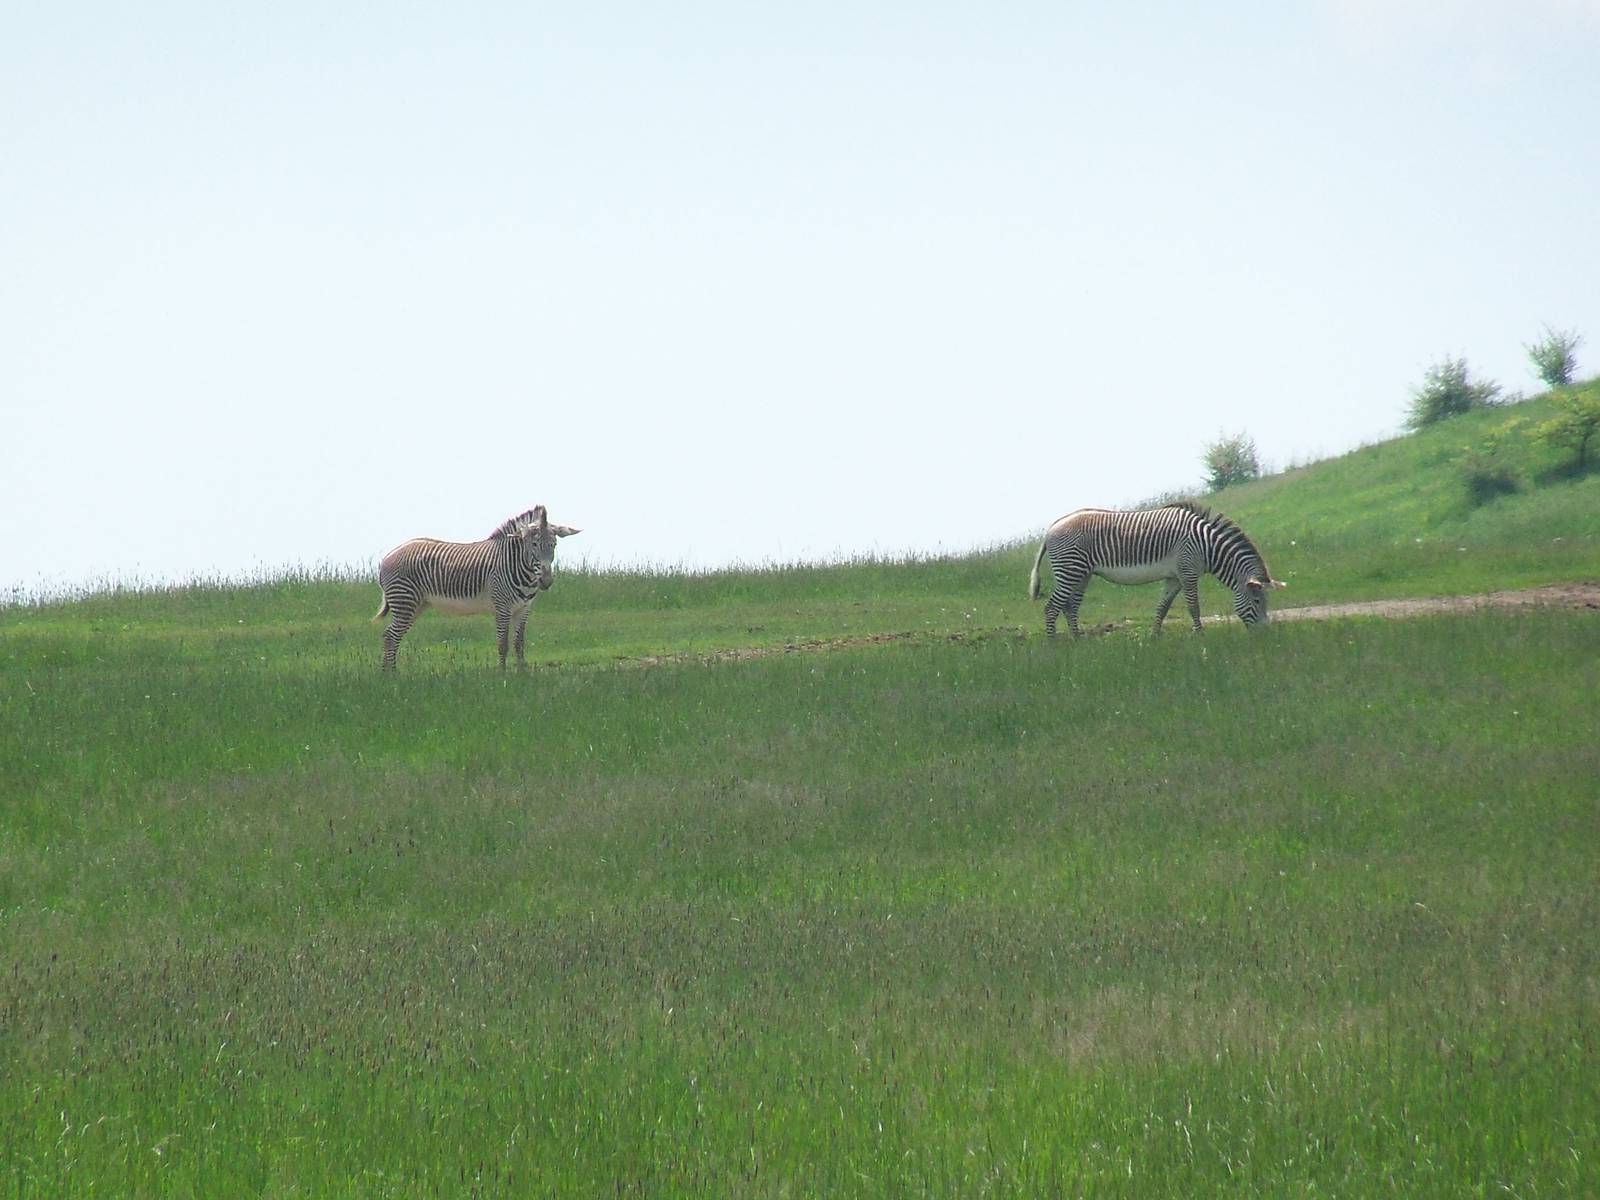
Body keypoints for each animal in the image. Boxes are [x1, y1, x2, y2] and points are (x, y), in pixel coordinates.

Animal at [372, 506, 580, 670]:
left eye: (554, 545)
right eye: (534, 544)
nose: (546, 581)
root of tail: (389, 556)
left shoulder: (524, 609)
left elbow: (519, 644)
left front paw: (522, 674)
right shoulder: (502, 607)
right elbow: (503, 643)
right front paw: (503, 675)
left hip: (416, 605)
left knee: (391, 636)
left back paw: (388, 674)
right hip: (405, 601)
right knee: (391, 636)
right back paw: (391, 676)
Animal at [1027, 501, 1284, 637]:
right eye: (1258, 601)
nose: (1266, 635)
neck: (1206, 544)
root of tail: (1051, 528)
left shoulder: (1174, 577)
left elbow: (1163, 607)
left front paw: (1155, 637)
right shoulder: (1187, 571)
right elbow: (1194, 607)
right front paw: (1200, 636)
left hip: (1081, 575)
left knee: (1070, 607)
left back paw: (1077, 640)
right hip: (1070, 571)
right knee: (1052, 607)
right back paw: (1053, 646)